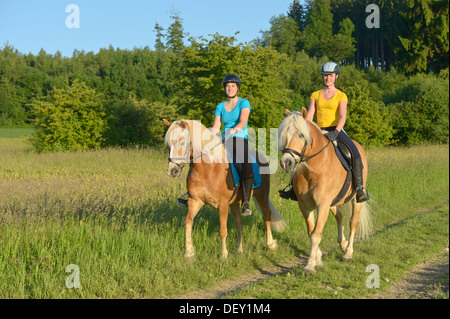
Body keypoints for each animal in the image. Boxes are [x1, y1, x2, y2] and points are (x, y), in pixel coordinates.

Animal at [163, 119, 286, 262]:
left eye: (182, 142)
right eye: (168, 145)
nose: (172, 171)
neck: (207, 169)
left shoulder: (222, 205)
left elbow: (222, 230)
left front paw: (223, 255)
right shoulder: (196, 200)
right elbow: (188, 222)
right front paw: (189, 252)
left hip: (262, 195)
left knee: (267, 216)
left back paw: (271, 244)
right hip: (234, 203)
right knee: (240, 223)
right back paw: (239, 250)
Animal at [278, 107, 372, 276]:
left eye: (300, 135)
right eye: (284, 134)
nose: (286, 163)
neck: (314, 168)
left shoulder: (322, 204)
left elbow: (316, 234)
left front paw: (310, 265)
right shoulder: (305, 205)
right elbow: (311, 231)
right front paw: (318, 258)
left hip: (355, 199)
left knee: (353, 222)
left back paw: (348, 253)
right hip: (334, 201)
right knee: (339, 216)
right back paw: (342, 244)